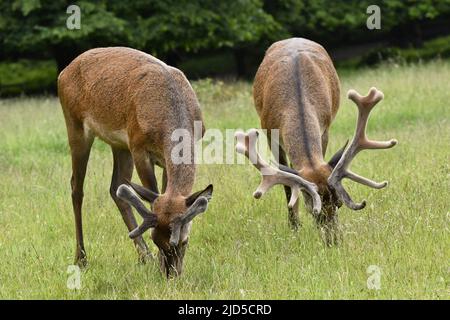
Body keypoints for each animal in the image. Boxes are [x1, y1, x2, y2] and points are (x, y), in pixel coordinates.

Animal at [57, 47, 213, 278]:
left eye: (184, 242)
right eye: (155, 239)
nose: (170, 275)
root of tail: (63, 72)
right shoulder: (140, 149)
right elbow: (151, 195)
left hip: (120, 145)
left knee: (115, 188)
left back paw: (143, 257)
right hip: (75, 125)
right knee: (76, 187)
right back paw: (82, 258)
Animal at [236, 38, 398, 245]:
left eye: (338, 203)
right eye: (313, 209)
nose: (334, 241)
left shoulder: (325, 128)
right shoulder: (269, 133)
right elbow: (287, 185)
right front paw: (294, 226)